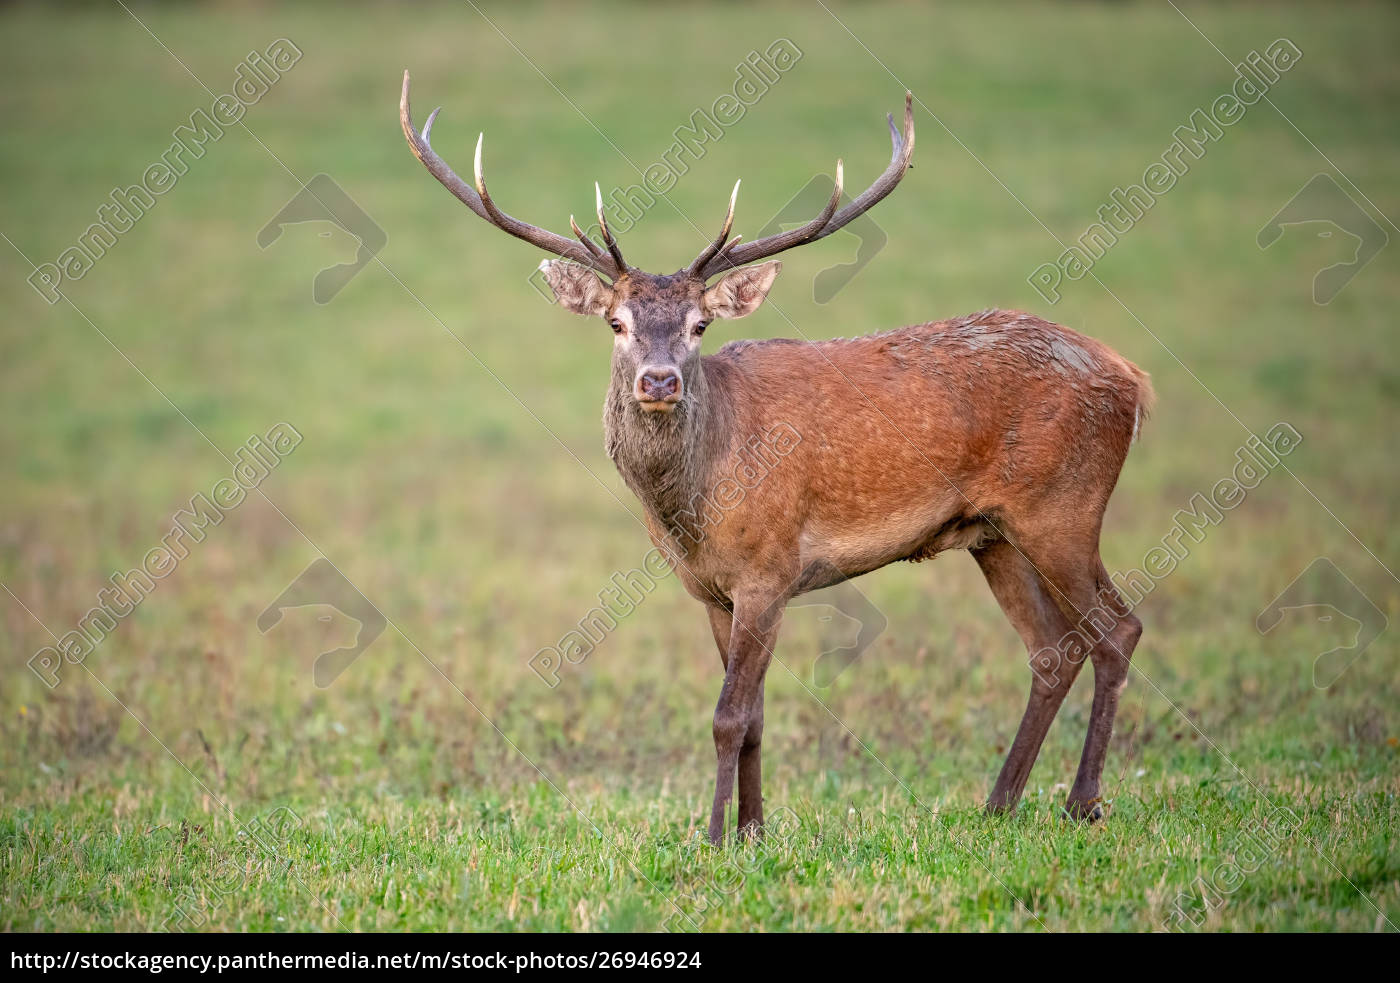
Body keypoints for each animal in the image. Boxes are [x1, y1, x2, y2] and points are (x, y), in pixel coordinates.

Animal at [400, 73, 1153, 845]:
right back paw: (999, 802)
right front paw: (754, 832)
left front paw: (710, 837)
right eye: (617, 323)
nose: (660, 381)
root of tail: (1133, 378)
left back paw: (1083, 800)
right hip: (993, 532)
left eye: (700, 325)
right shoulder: (712, 590)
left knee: (1117, 628)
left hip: (1063, 505)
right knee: (1051, 647)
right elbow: (756, 716)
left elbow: (729, 715)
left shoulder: (770, 571)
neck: (693, 512)